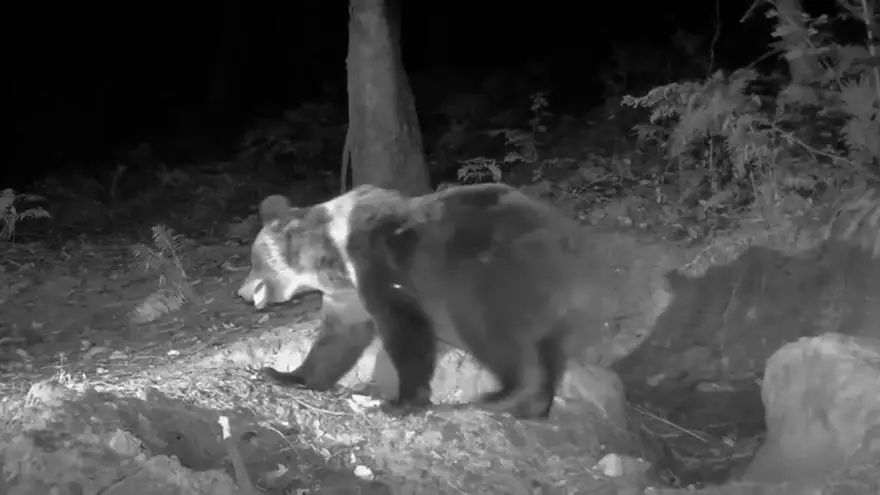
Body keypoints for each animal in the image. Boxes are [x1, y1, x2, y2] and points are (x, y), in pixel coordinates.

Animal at [237, 183, 603, 419]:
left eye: (254, 260)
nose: (241, 291)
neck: (335, 262)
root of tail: (567, 236)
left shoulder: (378, 265)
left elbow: (404, 329)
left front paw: (401, 402)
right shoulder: (347, 296)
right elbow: (337, 340)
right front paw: (283, 374)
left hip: (488, 268)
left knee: (486, 326)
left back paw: (501, 395)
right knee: (549, 345)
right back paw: (535, 406)